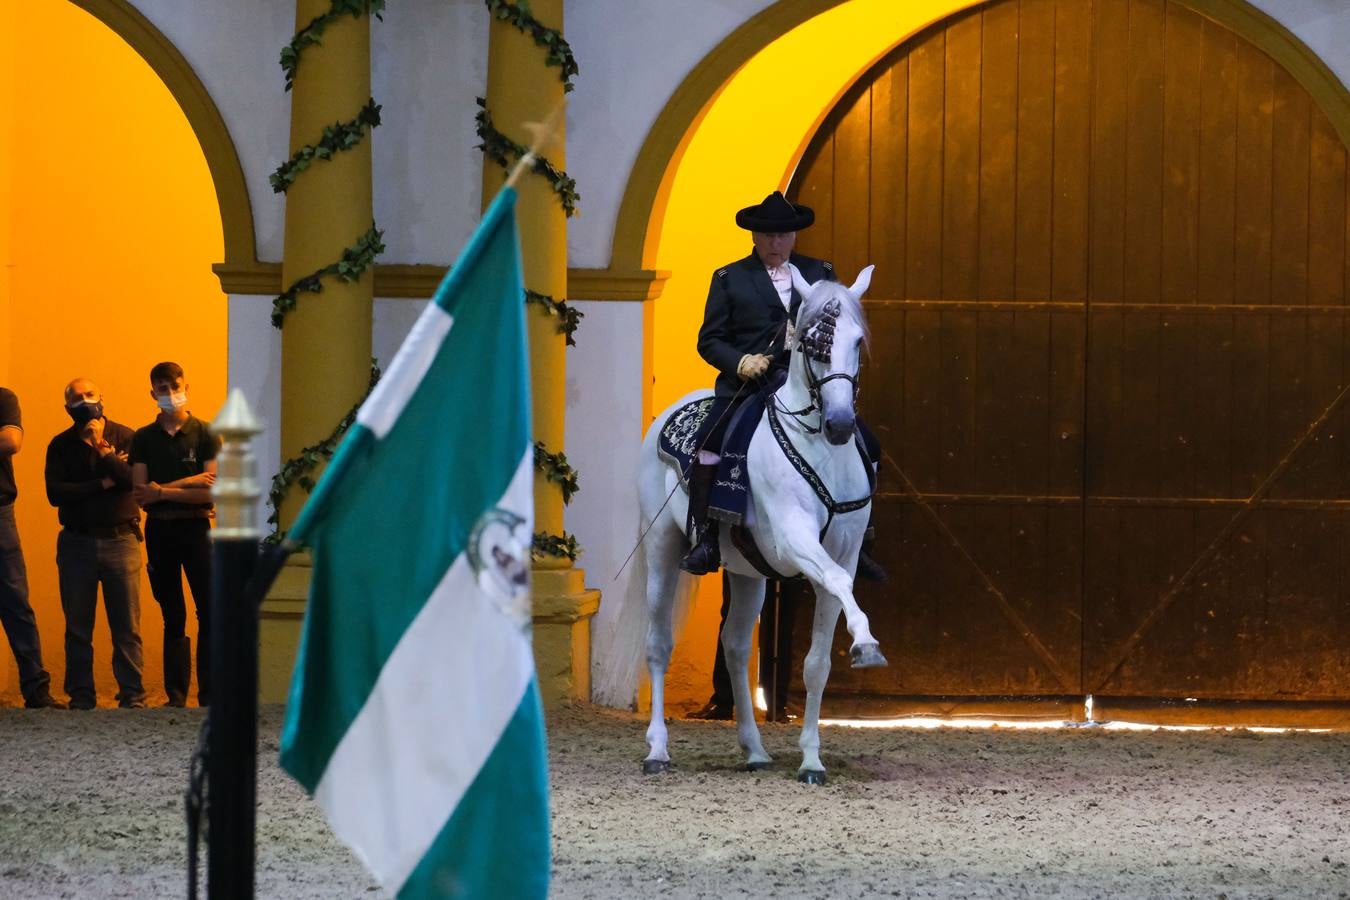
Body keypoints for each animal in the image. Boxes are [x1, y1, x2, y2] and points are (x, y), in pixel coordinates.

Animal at [596, 264, 891, 782]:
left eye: (857, 341)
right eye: (811, 344)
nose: (839, 425)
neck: (820, 447)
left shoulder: (847, 550)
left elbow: (817, 661)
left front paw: (811, 759)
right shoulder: (796, 540)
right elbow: (835, 581)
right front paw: (868, 643)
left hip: (748, 572)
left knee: (734, 645)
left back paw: (753, 748)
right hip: (662, 549)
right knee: (657, 645)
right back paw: (658, 750)